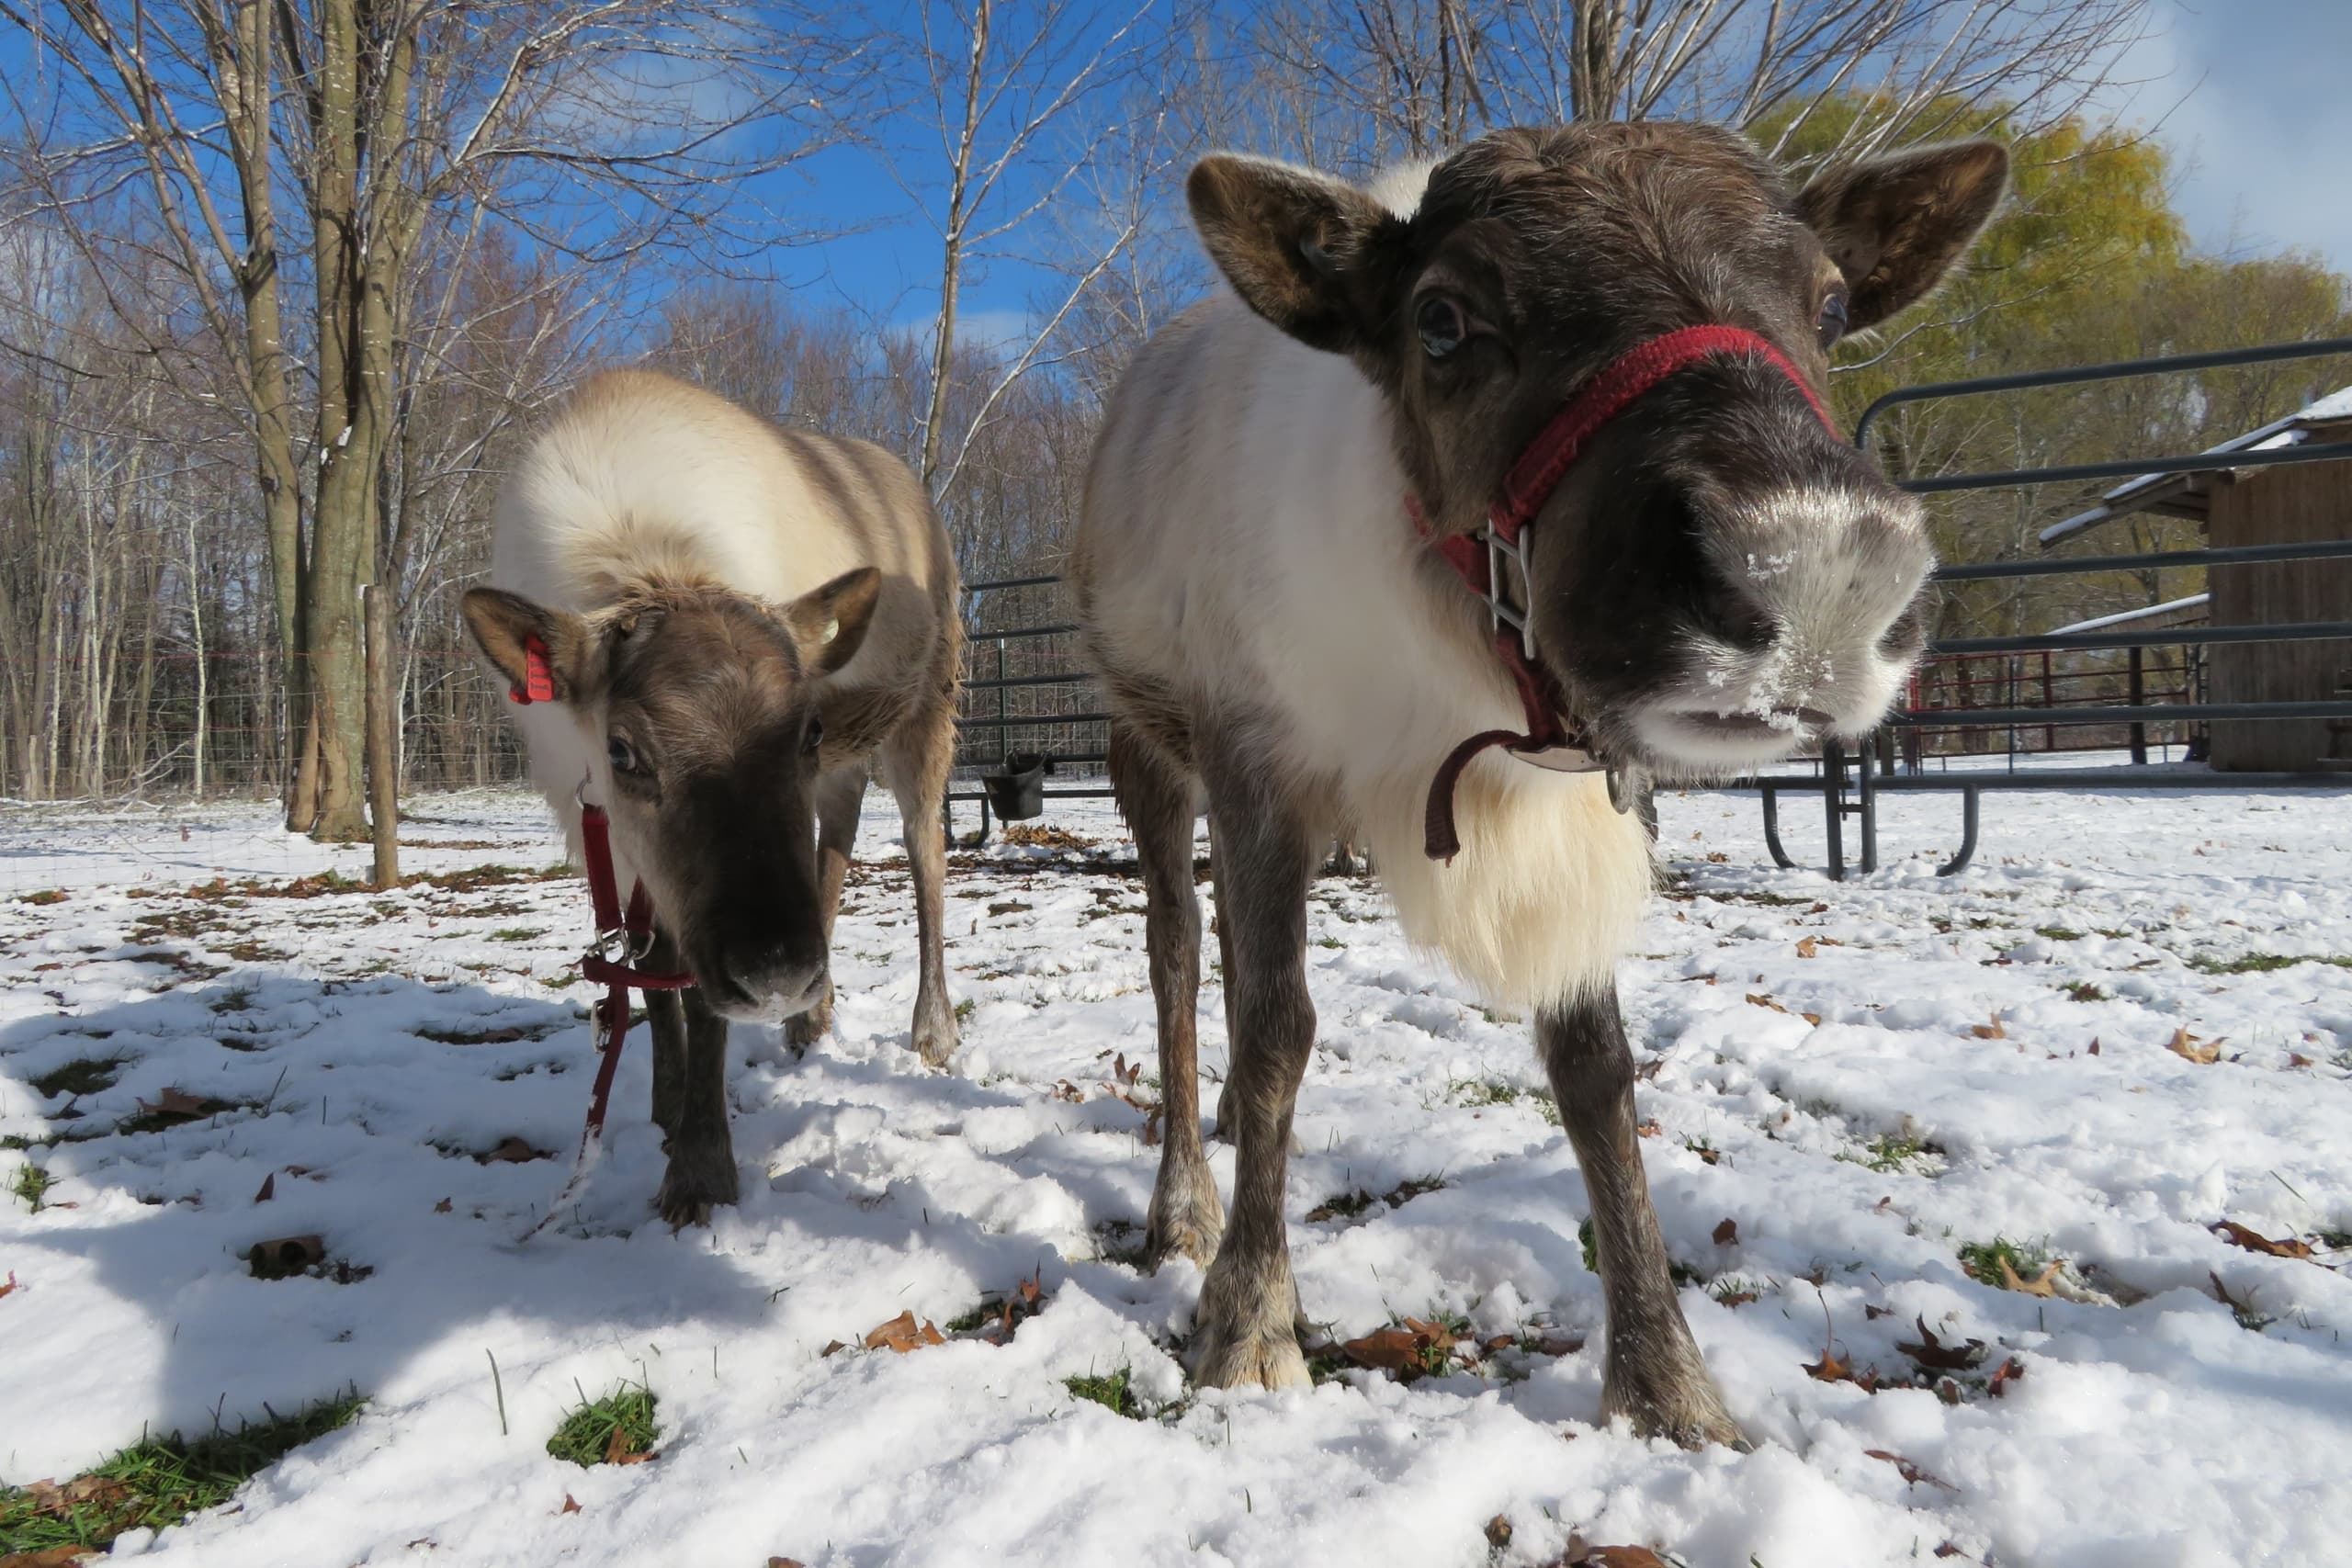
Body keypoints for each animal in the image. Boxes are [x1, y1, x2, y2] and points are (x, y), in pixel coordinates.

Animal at [462, 369, 963, 1227]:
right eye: (622, 750)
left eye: (805, 728)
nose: (780, 972)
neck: (652, 561)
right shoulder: (597, 819)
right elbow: (651, 965)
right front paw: (666, 1108)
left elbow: (697, 993)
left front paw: (701, 1170)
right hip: (849, 772)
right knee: (835, 846)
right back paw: (809, 1021)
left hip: (925, 710)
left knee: (925, 852)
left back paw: (928, 1028)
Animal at [1074, 123, 2005, 1447]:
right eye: (1443, 317)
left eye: (1830, 302)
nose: (1813, 566)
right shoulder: (1258, 756)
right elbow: (1274, 1031)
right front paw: (1247, 1324)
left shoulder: (1594, 795)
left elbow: (1596, 1067)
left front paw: (1668, 1387)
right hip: (1143, 741)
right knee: (1175, 949)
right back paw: (1185, 1206)